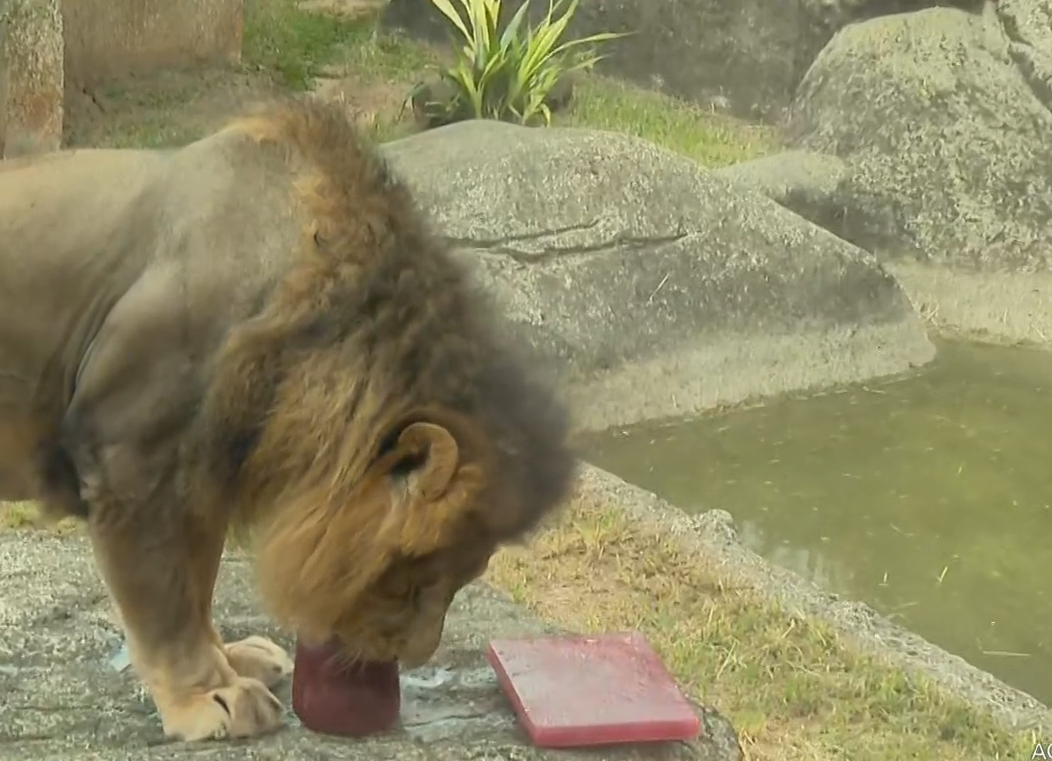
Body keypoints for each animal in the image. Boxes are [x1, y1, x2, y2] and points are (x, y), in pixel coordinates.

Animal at [0, 96, 576, 741]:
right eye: (417, 576)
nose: (414, 656)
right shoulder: (128, 455)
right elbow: (164, 604)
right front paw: (210, 695)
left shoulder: (203, 468)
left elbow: (196, 583)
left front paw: (233, 659)